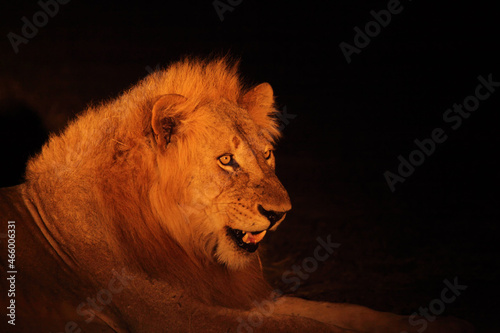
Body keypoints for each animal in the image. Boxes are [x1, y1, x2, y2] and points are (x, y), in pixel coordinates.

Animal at [0, 57, 472, 332]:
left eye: (267, 154)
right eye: (226, 160)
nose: (281, 213)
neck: (183, 243)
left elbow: (334, 311)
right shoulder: (166, 316)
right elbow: (304, 325)